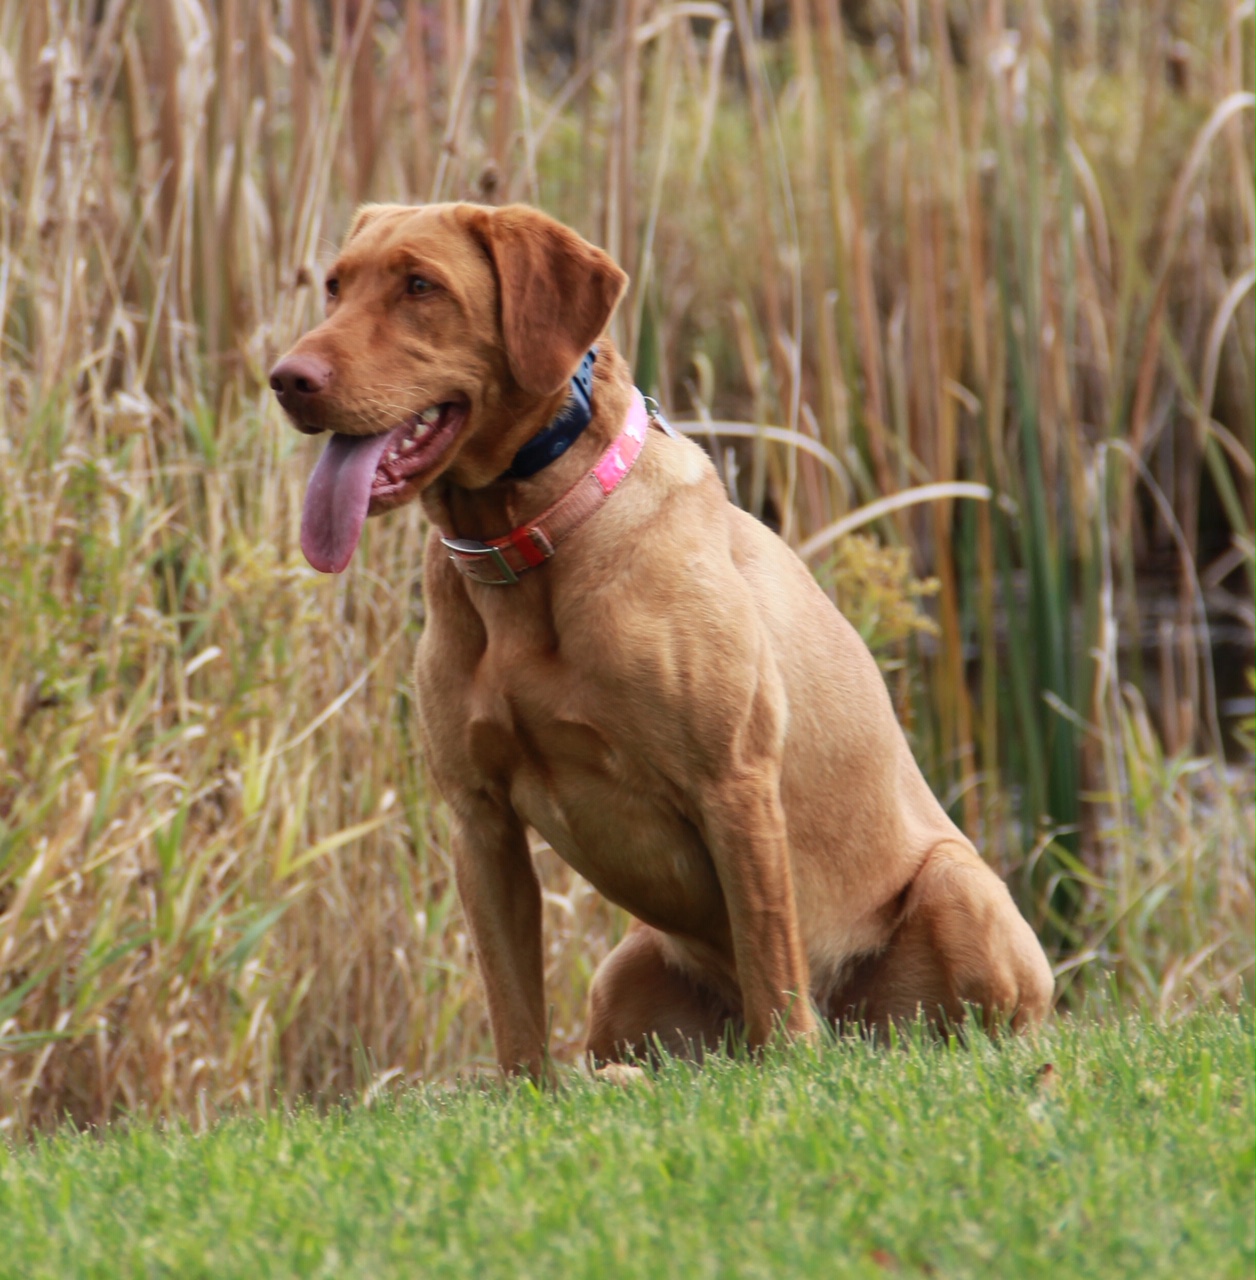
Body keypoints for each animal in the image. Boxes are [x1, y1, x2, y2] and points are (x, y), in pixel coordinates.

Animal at [270, 204, 1054, 1075]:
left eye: (420, 285)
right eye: (334, 285)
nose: (287, 378)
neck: (527, 540)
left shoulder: (734, 782)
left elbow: (772, 966)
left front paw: (791, 1073)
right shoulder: (479, 819)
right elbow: (514, 1011)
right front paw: (528, 1092)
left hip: (958, 888)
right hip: (619, 976)